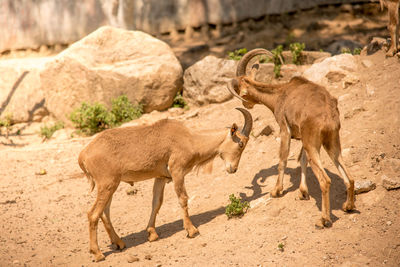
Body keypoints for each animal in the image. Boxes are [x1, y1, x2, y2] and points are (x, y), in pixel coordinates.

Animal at [78, 108, 253, 262]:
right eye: (241, 144)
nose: (233, 169)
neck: (190, 140)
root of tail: (83, 155)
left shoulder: (161, 178)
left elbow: (156, 203)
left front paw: (152, 234)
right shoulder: (177, 171)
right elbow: (183, 198)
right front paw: (191, 230)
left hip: (110, 186)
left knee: (105, 212)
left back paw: (119, 243)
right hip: (107, 184)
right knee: (93, 214)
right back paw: (98, 253)